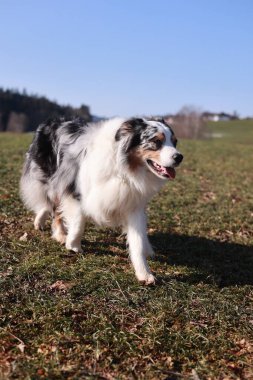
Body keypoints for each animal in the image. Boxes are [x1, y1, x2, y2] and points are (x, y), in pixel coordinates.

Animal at [19, 117, 182, 284]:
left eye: (175, 142)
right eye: (156, 141)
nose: (179, 157)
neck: (123, 168)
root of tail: (52, 121)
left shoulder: (133, 205)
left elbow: (137, 242)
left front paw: (144, 273)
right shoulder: (75, 190)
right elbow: (79, 222)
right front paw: (73, 245)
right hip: (53, 176)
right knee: (52, 204)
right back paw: (56, 231)